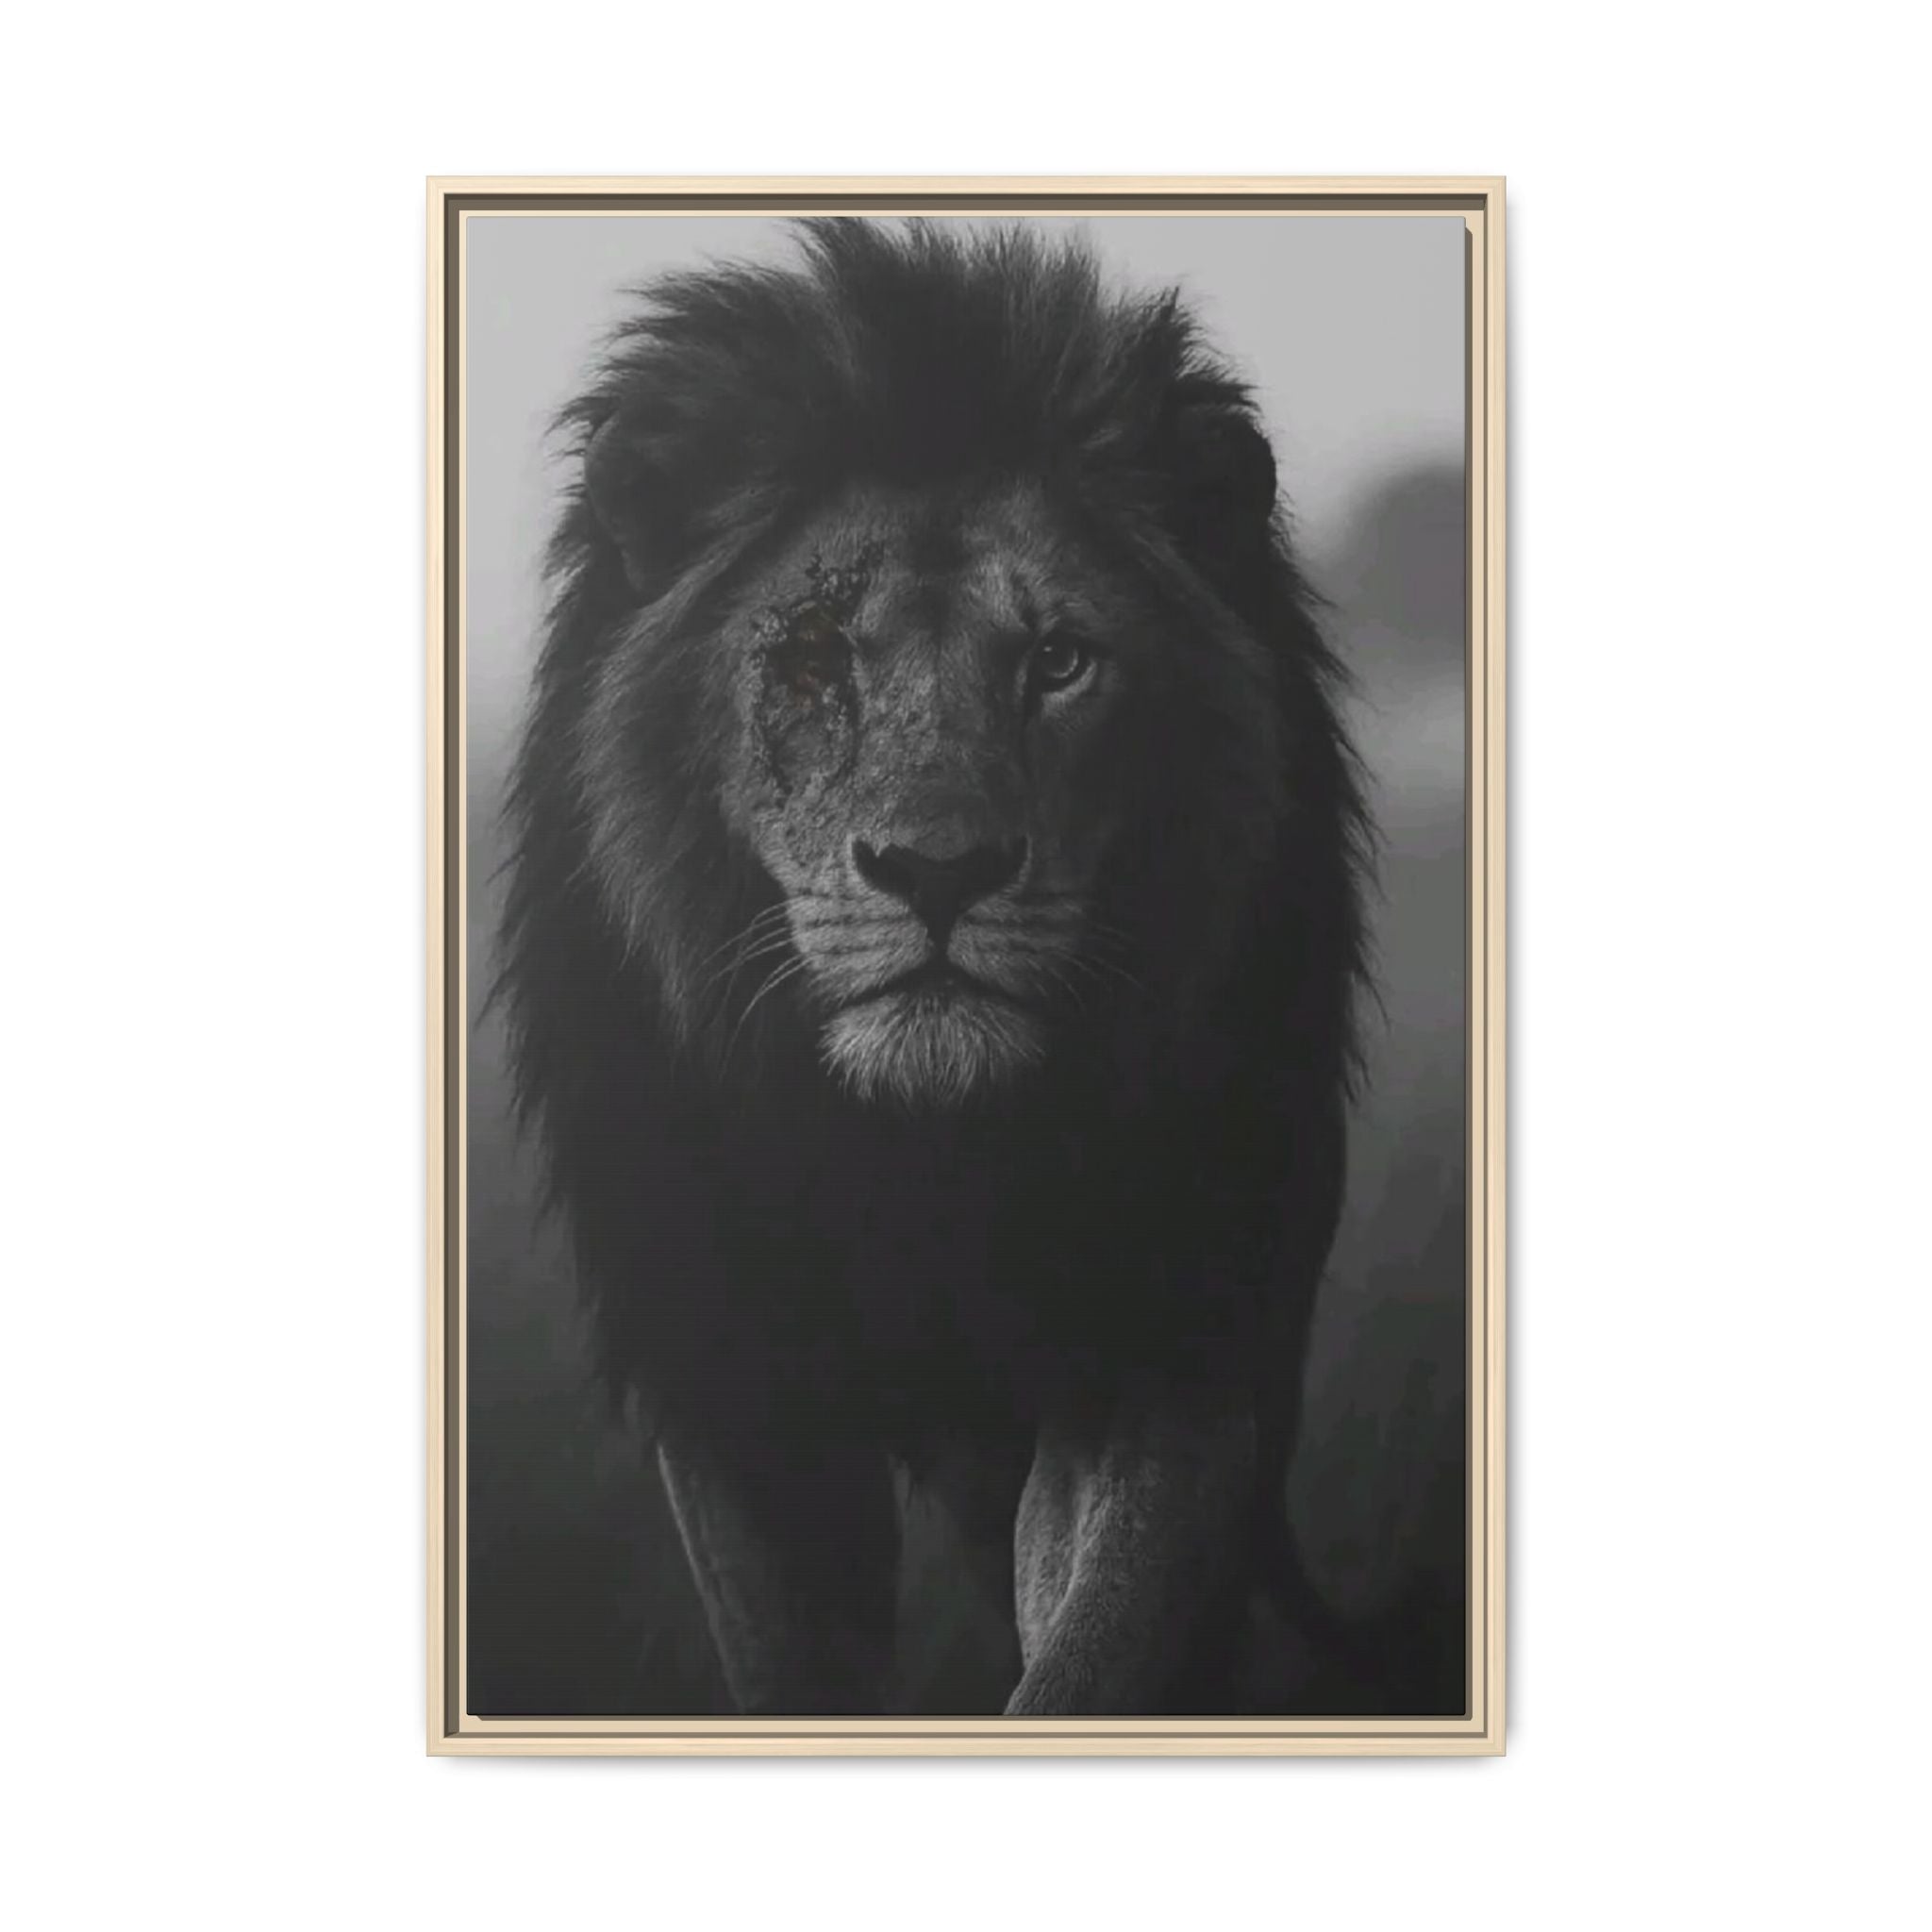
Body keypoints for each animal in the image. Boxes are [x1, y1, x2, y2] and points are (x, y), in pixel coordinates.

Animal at [499, 219, 1370, 1716]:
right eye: (809, 659)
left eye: (1060, 662)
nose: (939, 870)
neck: (922, 1157)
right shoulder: (732, 1380)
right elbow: (792, 1671)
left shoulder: (1166, 1337)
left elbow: (1097, 1649)